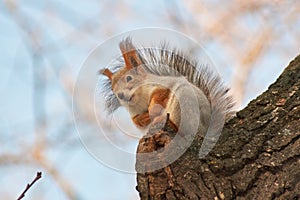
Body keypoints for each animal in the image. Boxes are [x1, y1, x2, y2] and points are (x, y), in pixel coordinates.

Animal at [99, 37, 234, 140]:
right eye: (113, 89)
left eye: (129, 78)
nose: (120, 95)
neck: (140, 101)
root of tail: (205, 130)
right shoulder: (134, 112)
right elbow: (137, 122)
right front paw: (144, 118)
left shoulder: (164, 84)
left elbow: (161, 95)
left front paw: (153, 111)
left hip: (184, 101)